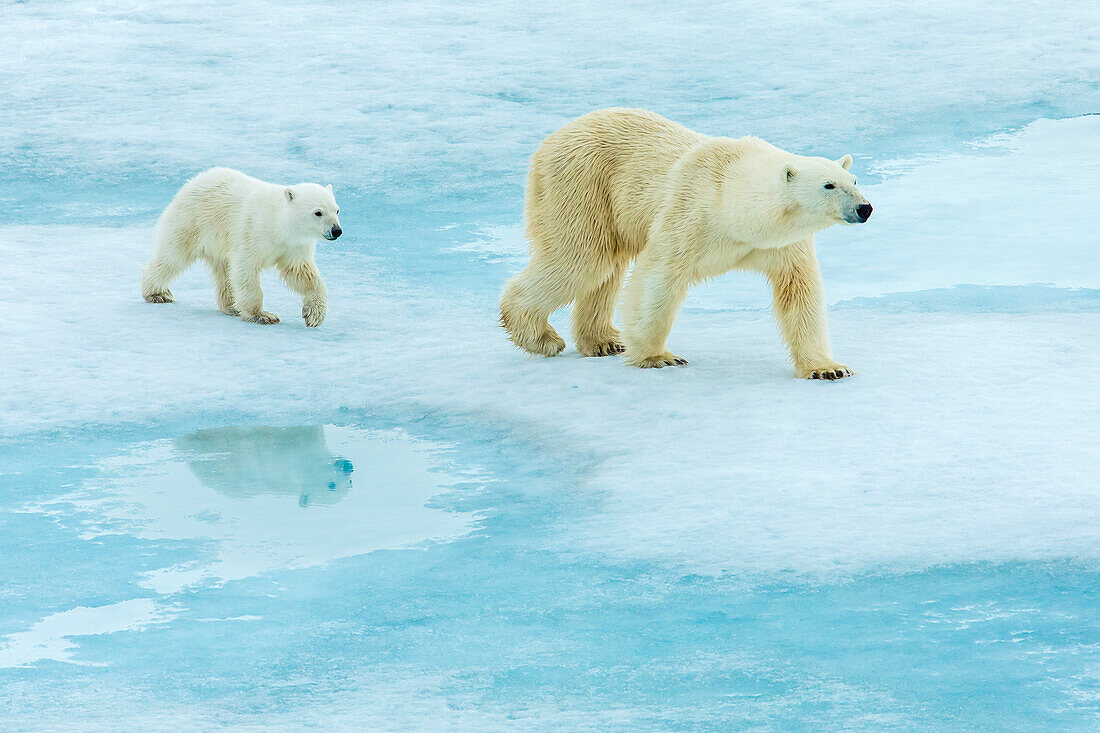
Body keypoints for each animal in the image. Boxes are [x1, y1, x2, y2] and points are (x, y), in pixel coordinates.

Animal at [141, 167, 341, 325]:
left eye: (337, 210)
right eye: (318, 212)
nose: (337, 230)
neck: (278, 224)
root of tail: (192, 181)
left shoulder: (294, 245)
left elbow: (301, 272)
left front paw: (314, 314)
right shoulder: (254, 233)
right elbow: (246, 267)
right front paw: (262, 315)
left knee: (224, 272)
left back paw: (231, 306)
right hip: (192, 223)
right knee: (172, 257)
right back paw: (157, 293)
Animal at [503, 112, 871, 383]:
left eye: (854, 180)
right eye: (828, 185)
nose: (864, 208)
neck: (733, 203)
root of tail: (554, 137)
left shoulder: (781, 245)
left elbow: (800, 292)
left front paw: (828, 368)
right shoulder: (691, 214)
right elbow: (659, 277)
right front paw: (659, 357)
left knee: (605, 268)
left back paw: (604, 341)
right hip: (581, 184)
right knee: (582, 260)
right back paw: (542, 337)